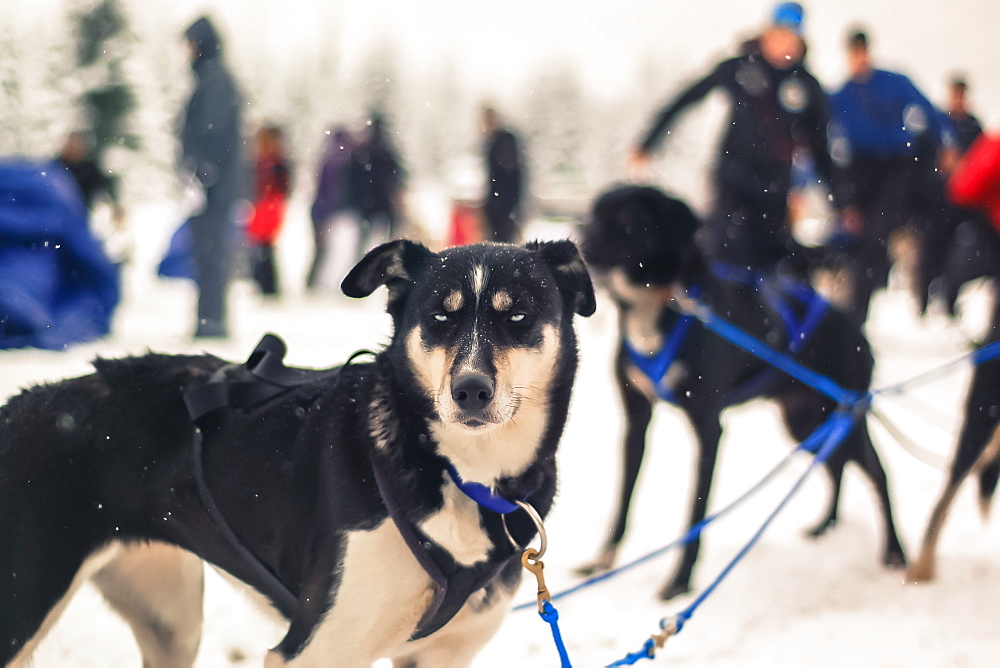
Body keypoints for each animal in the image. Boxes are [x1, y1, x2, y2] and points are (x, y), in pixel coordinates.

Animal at [0, 240, 592, 668]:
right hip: (24, 610)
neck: (460, 473)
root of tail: (20, 407)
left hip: (171, 621)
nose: (470, 389)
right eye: (440, 317)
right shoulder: (312, 649)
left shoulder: (440, 658)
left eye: (517, 316)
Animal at [572, 185, 908, 604]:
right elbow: (623, 501)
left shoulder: (708, 429)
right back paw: (824, 527)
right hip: (804, 422)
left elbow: (695, 513)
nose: (580, 243)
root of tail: (852, 324)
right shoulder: (636, 420)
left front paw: (680, 583)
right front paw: (603, 561)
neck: (656, 309)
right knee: (834, 464)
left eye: (627, 221)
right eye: (592, 214)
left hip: (845, 414)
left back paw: (895, 552)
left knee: (877, 472)